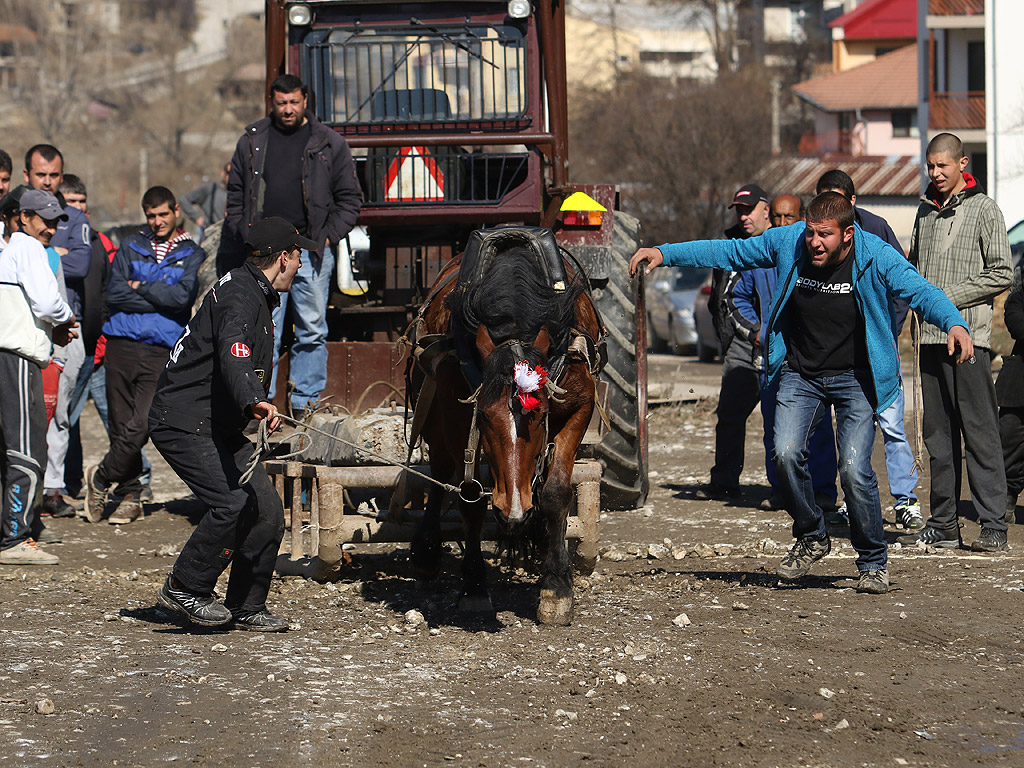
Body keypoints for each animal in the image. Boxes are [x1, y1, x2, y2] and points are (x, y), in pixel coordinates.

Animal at [405, 236, 598, 626]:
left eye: (541, 415)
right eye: (483, 418)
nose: (514, 511)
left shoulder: (580, 407)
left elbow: (556, 492)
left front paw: (556, 588)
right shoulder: (455, 416)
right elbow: (470, 500)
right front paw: (474, 588)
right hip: (430, 412)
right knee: (441, 471)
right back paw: (427, 550)